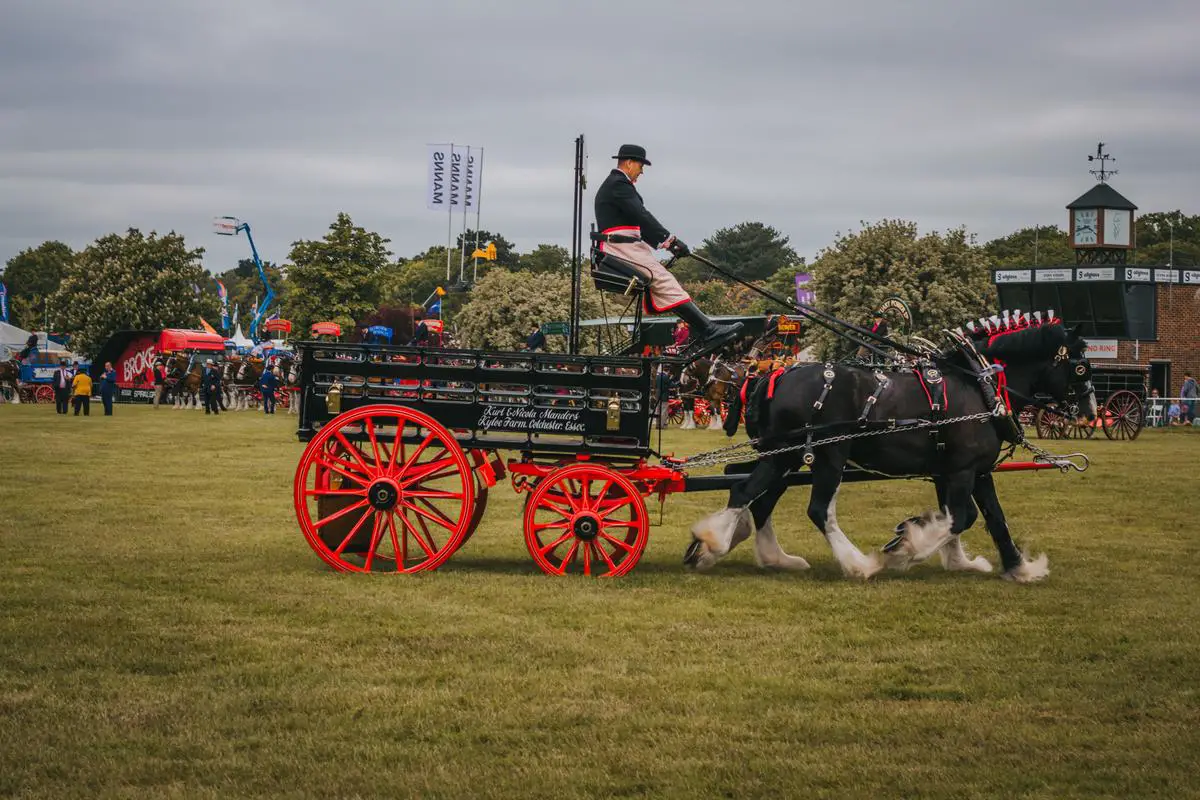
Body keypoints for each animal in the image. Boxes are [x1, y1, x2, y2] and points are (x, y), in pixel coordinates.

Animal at [686, 316, 1099, 585]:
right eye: (1082, 366)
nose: (1091, 413)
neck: (979, 385)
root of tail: (773, 374)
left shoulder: (968, 471)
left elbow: (990, 519)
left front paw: (1011, 567)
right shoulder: (963, 470)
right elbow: (960, 518)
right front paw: (908, 545)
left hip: (784, 455)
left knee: (750, 492)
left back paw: (742, 550)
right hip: (828, 455)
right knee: (815, 508)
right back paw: (857, 565)